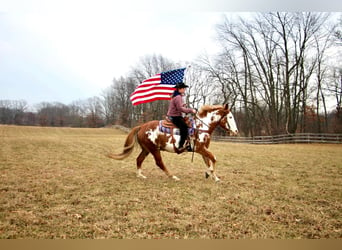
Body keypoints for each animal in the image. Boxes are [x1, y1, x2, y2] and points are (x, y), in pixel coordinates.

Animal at [107, 103, 238, 182]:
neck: (200, 127)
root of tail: (141, 127)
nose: (236, 131)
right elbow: (214, 158)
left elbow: (209, 161)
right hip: (154, 149)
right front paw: (208, 173)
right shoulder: (200, 148)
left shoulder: (203, 150)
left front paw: (215, 177)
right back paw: (173, 176)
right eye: (230, 117)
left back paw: (140, 175)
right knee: (159, 162)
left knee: (139, 159)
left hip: (147, 149)